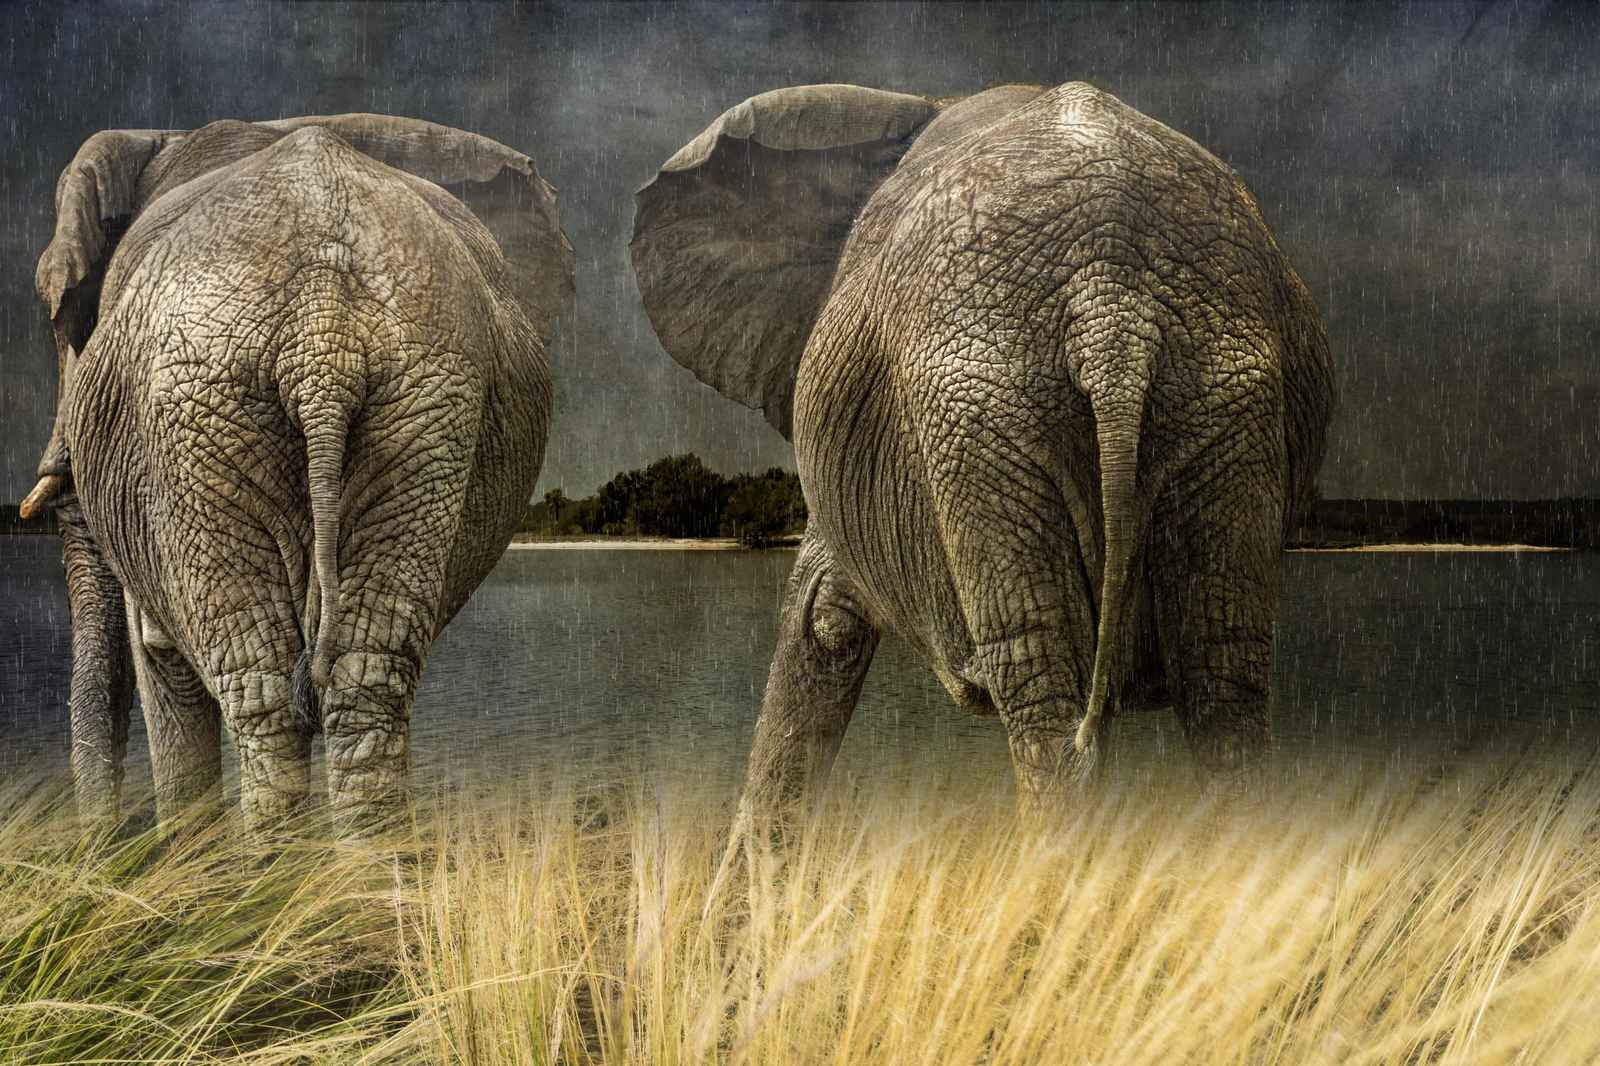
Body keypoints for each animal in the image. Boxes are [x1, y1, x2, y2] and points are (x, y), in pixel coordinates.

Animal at [18, 114, 572, 828]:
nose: (105, 847)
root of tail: (323, 330)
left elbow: (159, 657)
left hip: (199, 410)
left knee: (263, 692)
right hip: (422, 403)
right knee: (366, 678)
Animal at [631, 82, 1334, 807]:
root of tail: (1112, 307)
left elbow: (818, 621)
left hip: (981, 407)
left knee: (1045, 679)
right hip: (1217, 398)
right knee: (1221, 674)